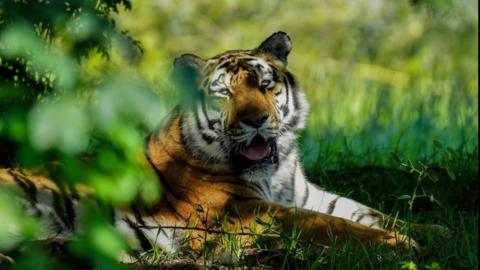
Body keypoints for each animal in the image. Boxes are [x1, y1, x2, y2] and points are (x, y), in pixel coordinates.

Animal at [0, 32, 424, 264]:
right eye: (224, 94)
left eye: (266, 84)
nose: (256, 119)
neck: (277, 172)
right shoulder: (239, 211)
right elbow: (328, 225)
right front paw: (402, 245)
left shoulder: (309, 196)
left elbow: (373, 214)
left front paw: (429, 231)